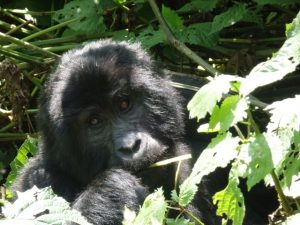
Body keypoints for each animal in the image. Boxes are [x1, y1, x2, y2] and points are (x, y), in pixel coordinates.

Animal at [13, 40, 218, 225]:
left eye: (124, 104)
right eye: (94, 121)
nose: (131, 146)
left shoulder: (192, 91)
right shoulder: (35, 182)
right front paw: (111, 189)